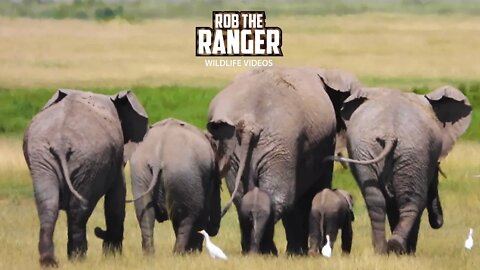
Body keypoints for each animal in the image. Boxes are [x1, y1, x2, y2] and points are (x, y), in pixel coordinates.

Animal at [23, 88, 147, 266]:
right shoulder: (116, 160)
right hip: (88, 159)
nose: (99, 230)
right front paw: (112, 257)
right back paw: (77, 259)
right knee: (79, 209)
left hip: (44, 157)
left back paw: (50, 262)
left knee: (48, 204)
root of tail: (61, 141)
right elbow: (116, 201)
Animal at [130, 118, 222, 255]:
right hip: (183, 175)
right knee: (186, 218)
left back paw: (149, 255)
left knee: (146, 215)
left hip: (140, 171)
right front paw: (194, 252)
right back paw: (178, 254)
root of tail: (158, 157)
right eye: (218, 182)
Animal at [206, 66, 360, 254]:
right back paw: (268, 252)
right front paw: (299, 253)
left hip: (235, 148)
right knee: (282, 199)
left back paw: (253, 251)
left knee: (243, 200)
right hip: (281, 145)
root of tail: (250, 124)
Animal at [332, 87, 470, 255]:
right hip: (414, 152)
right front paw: (409, 252)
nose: (438, 222)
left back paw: (381, 250)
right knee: (411, 201)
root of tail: (389, 134)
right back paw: (397, 248)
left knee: (375, 201)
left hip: (365, 149)